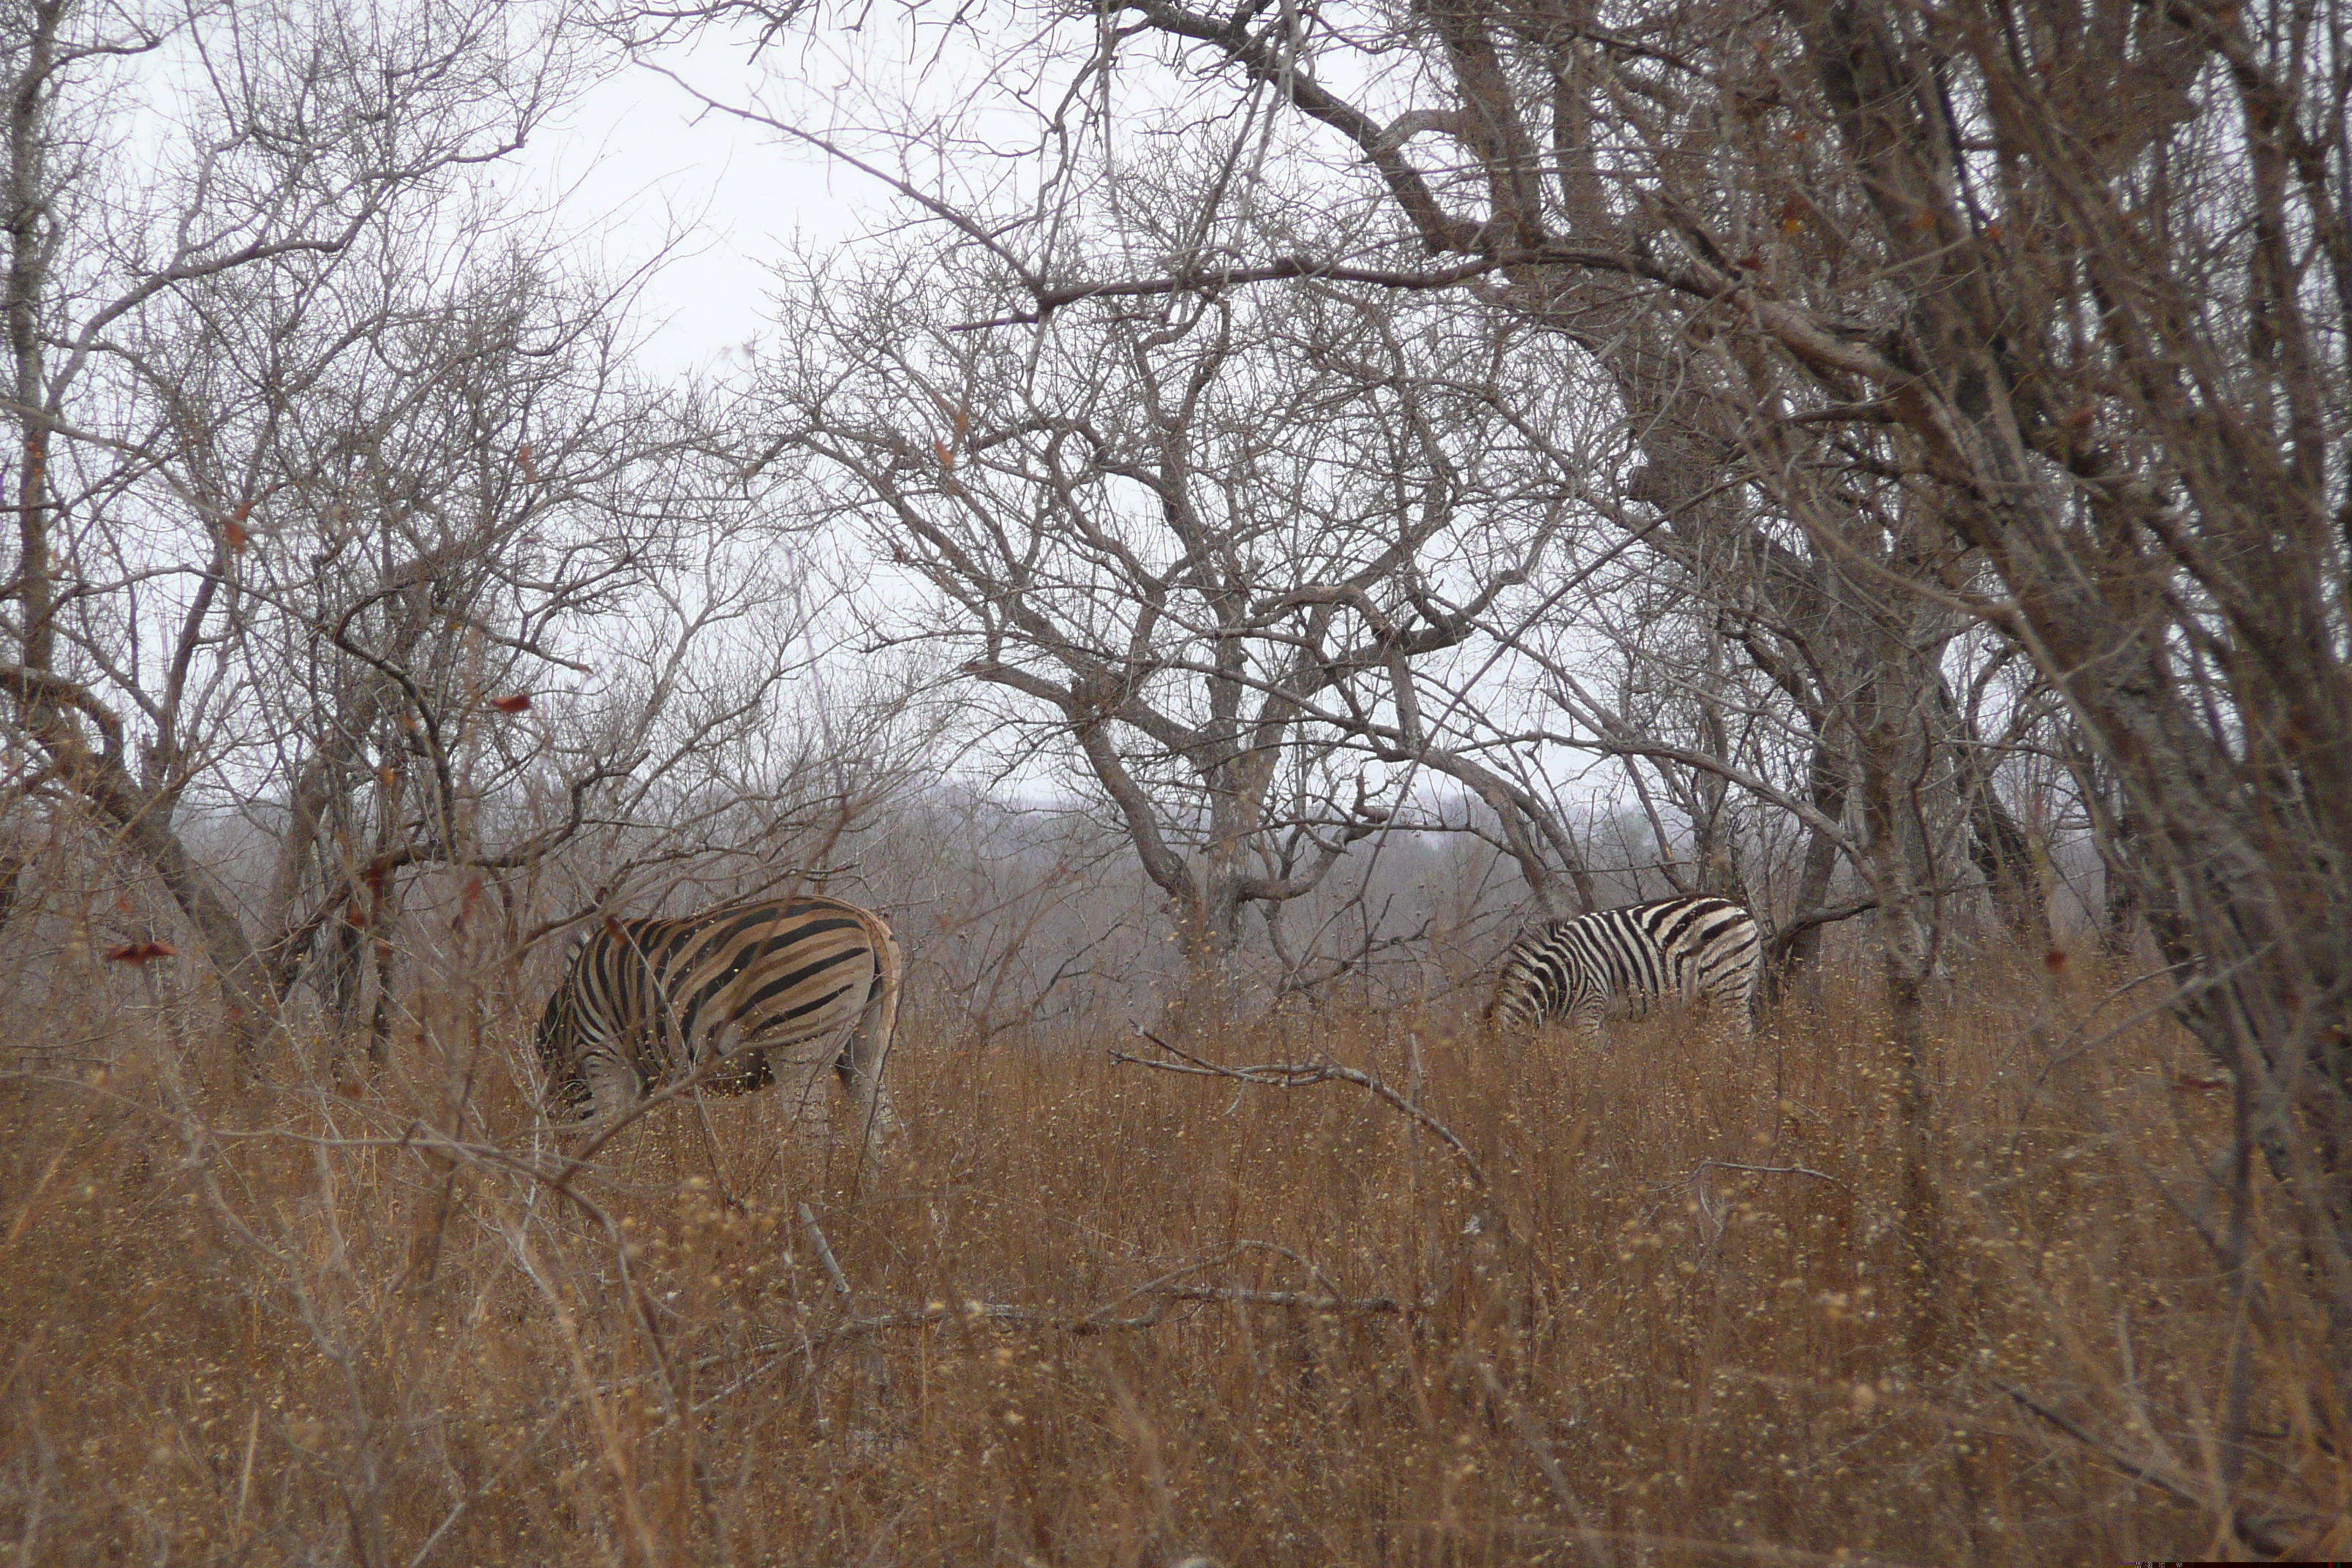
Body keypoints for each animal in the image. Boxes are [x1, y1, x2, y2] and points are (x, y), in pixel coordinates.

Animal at [538, 902, 902, 1147]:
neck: (567, 1019)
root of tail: (863, 919)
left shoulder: (605, 1056)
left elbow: (613, 1142)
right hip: (865, 1049)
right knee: (882, 1130)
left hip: (798, 1048)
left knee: (813, 1137)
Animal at [1486, 893, 1768, 1044]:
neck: (1560, 974)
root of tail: (1740, 909)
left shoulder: (1589, 1011)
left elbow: (1590, 1066)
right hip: (1708, 995)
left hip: (1730, 982)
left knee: (1742, 1036)